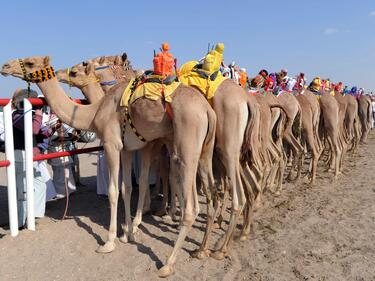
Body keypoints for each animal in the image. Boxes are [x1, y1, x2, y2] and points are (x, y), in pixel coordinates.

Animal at [1, 55, 217, 276]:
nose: (5, 66)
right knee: (208, 191)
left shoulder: (112, 145)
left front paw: (110, 241)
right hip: (203, 151)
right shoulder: (128, 148)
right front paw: (128, 233)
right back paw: (202, 249)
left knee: (191, 205)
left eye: (30, 63)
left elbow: (114, 191)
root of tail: (207, 110)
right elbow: (127, 188)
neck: (94, 113)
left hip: (186, 144)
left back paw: (168, 263)